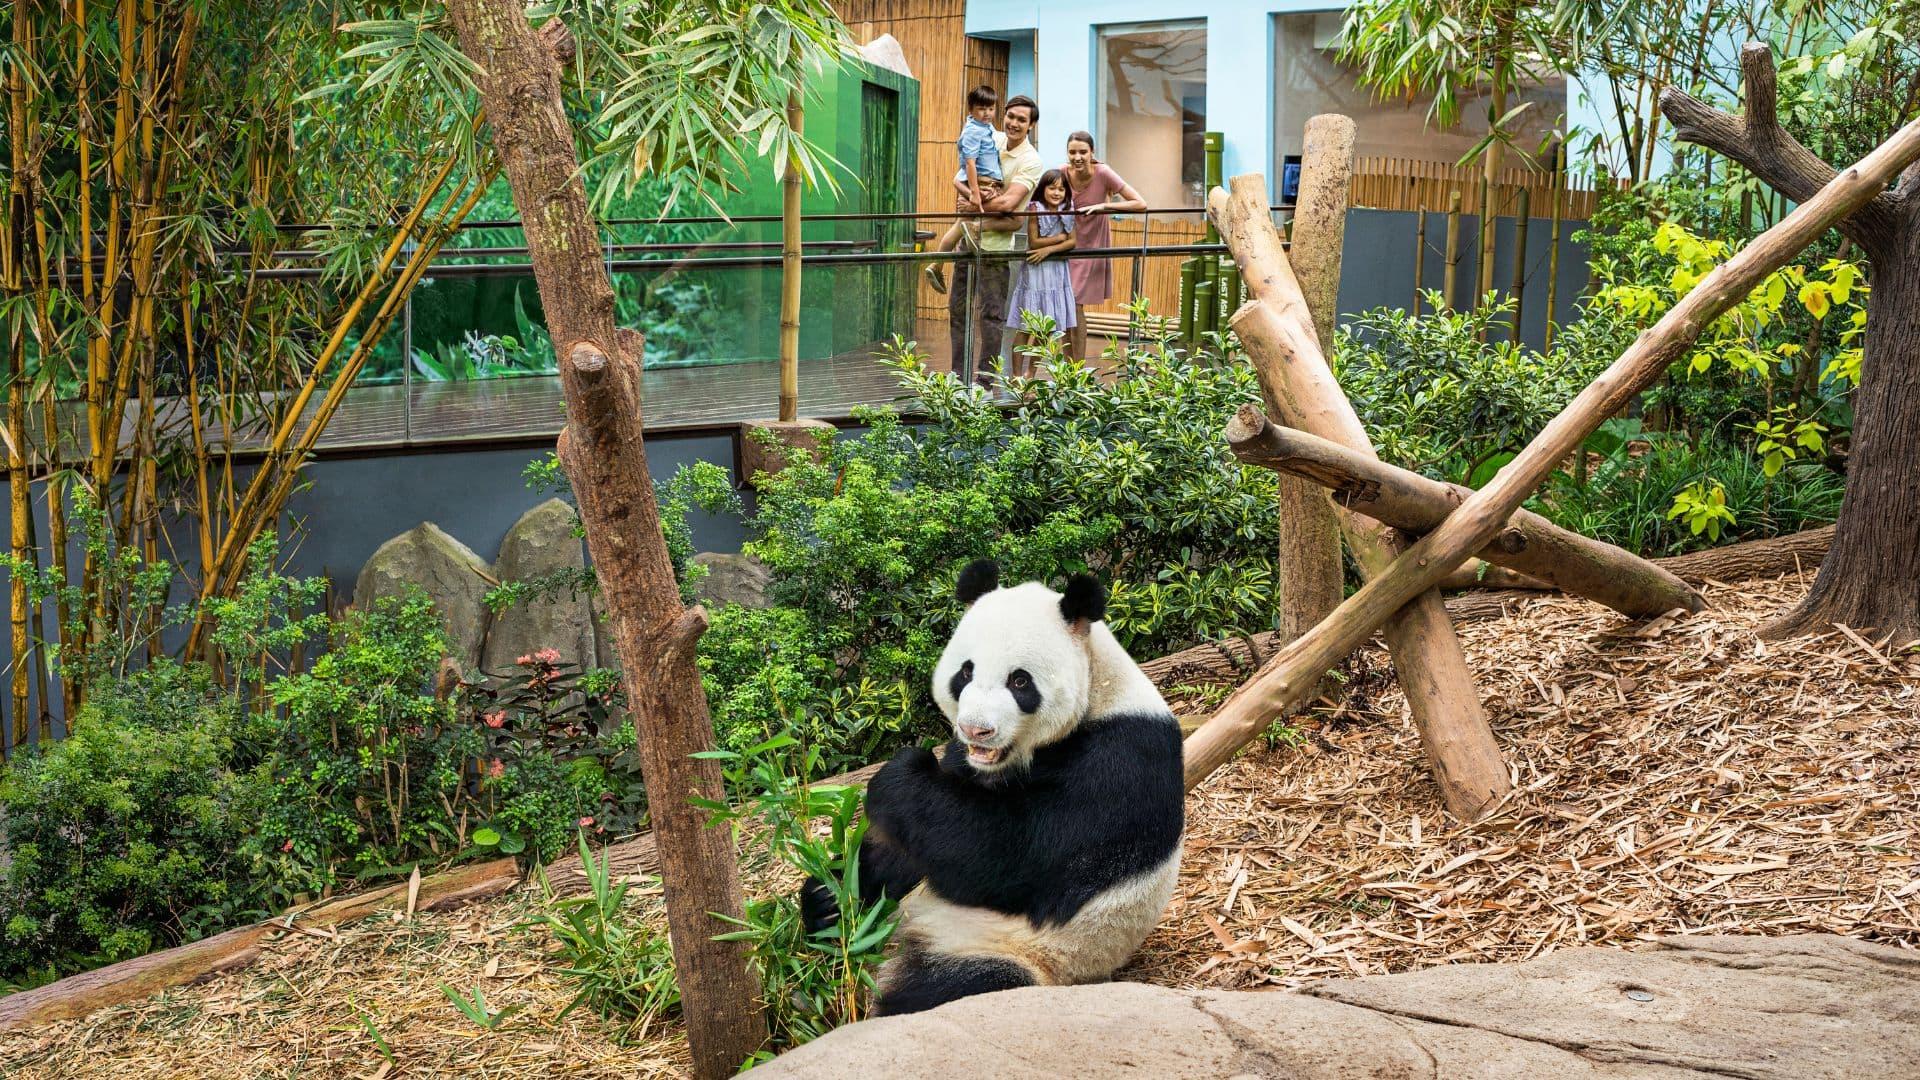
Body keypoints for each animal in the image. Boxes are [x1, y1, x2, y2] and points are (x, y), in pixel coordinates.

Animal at [798, 557, 1182, 1014]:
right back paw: (825, 905)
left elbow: (1010, 855)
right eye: (966, 672)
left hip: (1016, 950)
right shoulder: (966, 763)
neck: (1100, 688)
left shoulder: (1121, 760)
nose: (975, 730)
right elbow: (918, 845)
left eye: (1020, 682)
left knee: (948, 987)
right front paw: (832, 895)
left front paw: (900, 776)